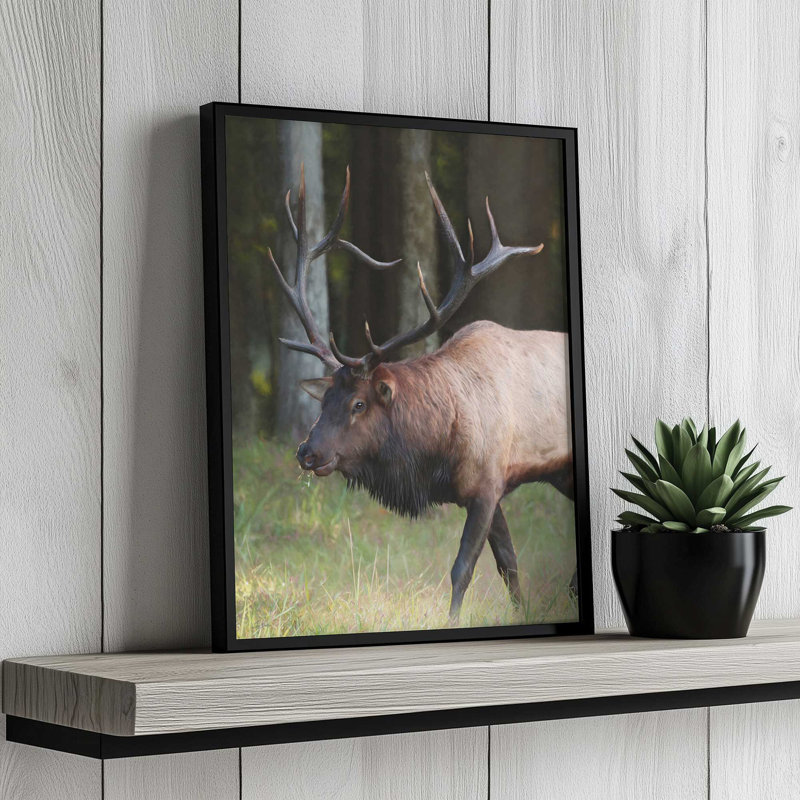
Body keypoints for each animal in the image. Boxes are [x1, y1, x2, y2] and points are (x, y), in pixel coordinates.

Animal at [265, 164, 573, 623]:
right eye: (324, 400)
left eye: (359, 403)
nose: (307, 452)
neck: (435, 456)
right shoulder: (485, 490)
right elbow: (508, 563)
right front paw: (523, 612)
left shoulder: (487, 482)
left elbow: (463, 568)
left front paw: (453, 620)